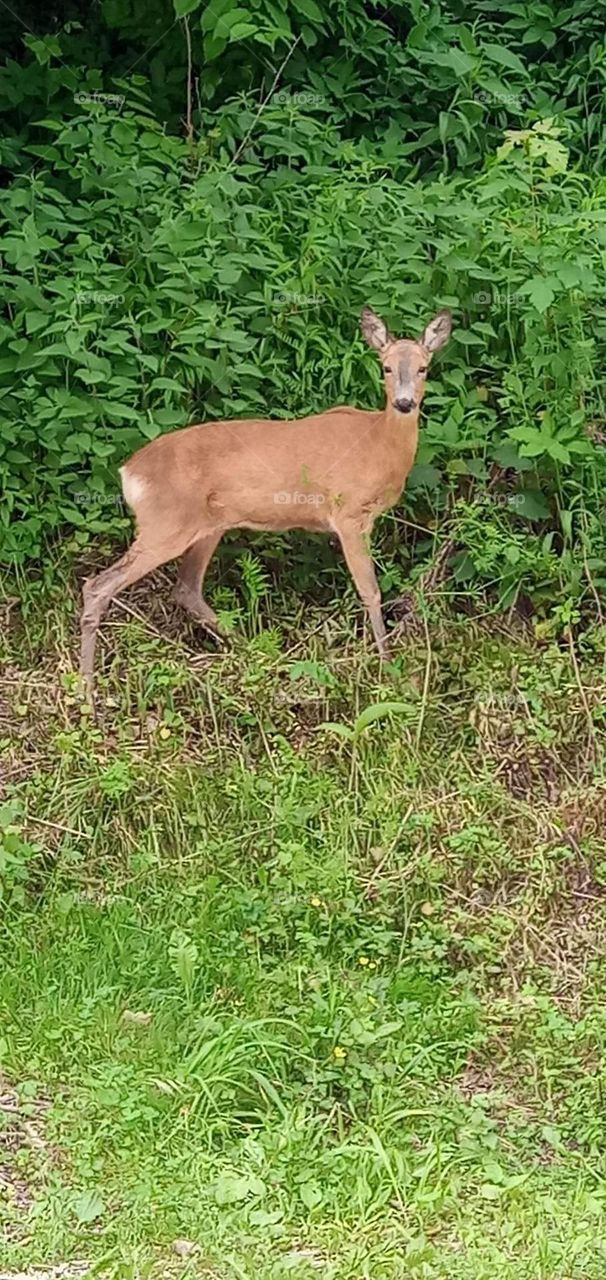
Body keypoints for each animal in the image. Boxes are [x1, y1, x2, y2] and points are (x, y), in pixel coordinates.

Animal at [79, 305, 452, 688]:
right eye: (386, 367)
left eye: (423, 367)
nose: (404, 403)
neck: (379, 444)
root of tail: (129, 472)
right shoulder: (347, 513)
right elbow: (371, 590)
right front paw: (387, 666)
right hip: (165, 524)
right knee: (97, 586)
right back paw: (87, 688)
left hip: (208, 525)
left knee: (186, 588)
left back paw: (254, 651)